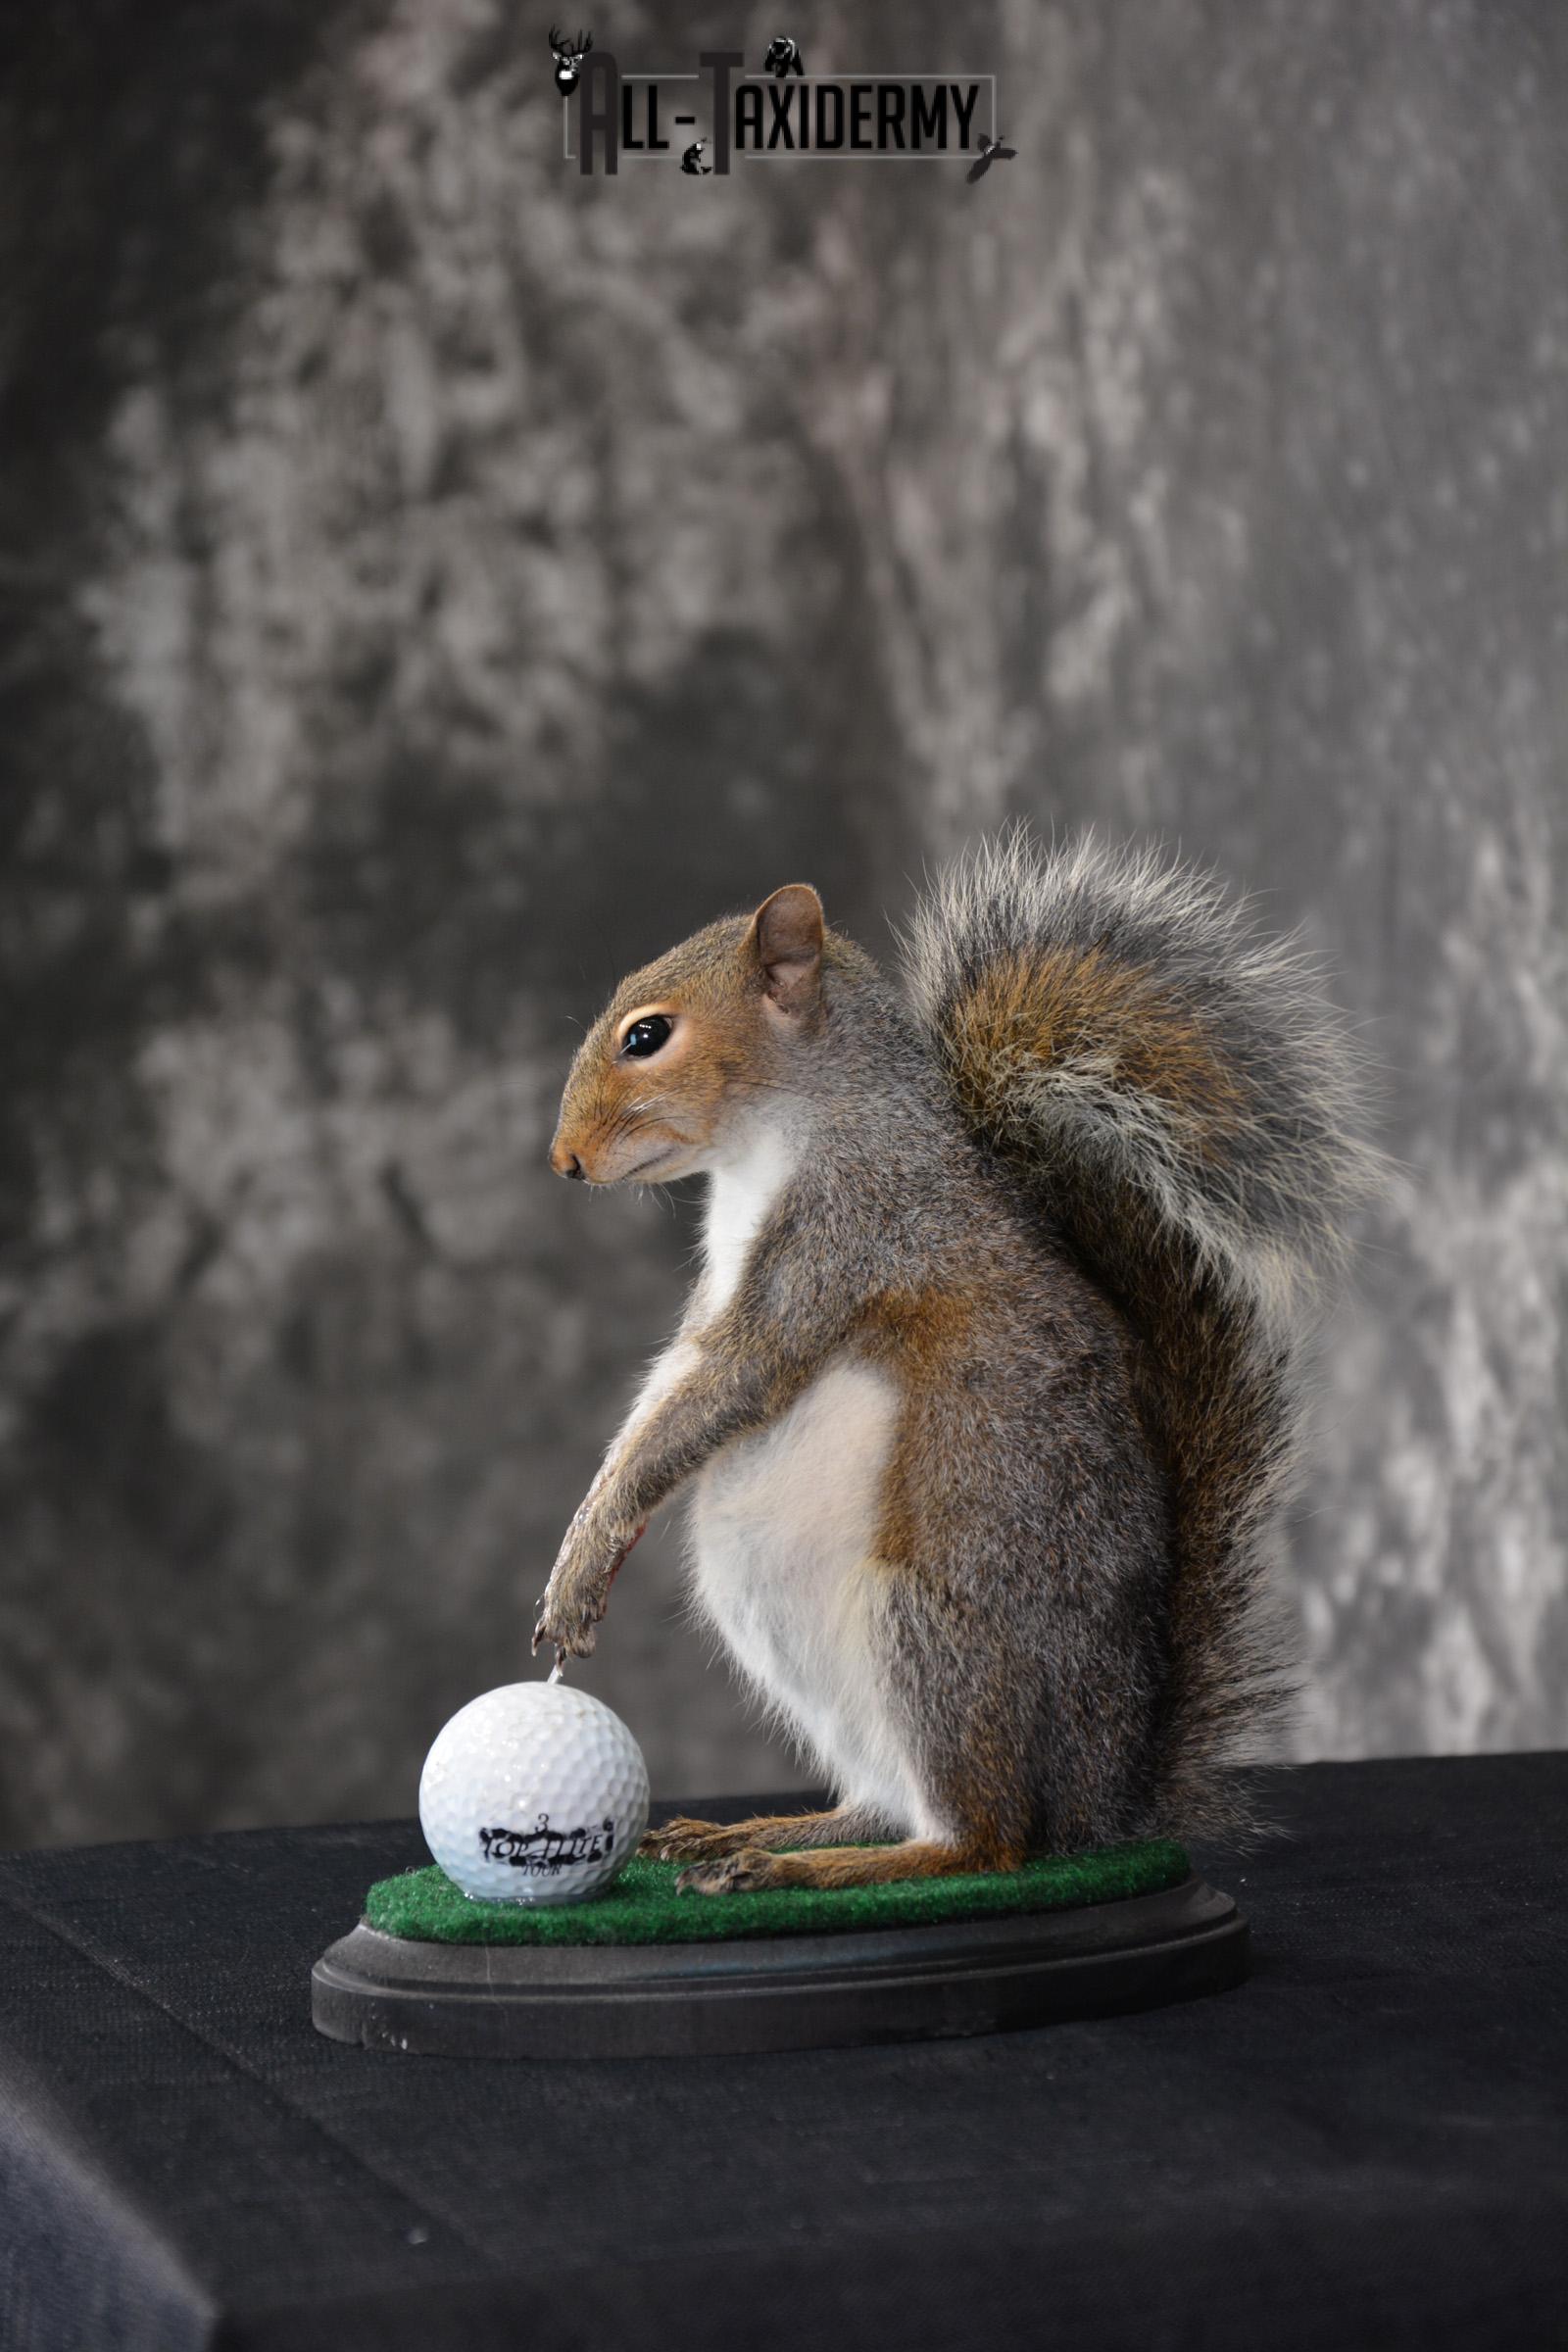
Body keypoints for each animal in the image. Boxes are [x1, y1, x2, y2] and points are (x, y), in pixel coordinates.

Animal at [535, 832, 1379, 1895]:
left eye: (647, 1036)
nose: (562, 1162)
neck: (789, 1137)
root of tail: (1105, 1800)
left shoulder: (843, 1242)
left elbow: (725, 1391)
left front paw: (588, 1553)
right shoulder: (712, 1307)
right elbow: (661, 1397)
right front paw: (585, 1536)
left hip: (930, 1628)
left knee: (984, 1843)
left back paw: (808, 1872)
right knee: (880, 1803)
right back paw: (757, 1838)